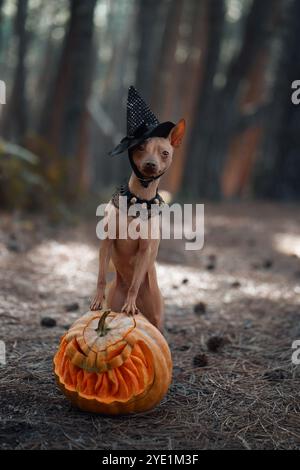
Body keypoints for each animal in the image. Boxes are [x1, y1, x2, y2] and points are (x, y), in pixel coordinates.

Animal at [90, 118, 186, 330]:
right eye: (140, 147)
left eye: (165, 153)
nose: (150, 164)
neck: (139, 199)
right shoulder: (107, 243)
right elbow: (101, 276)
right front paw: (97, 299)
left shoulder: (145, 250)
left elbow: (134, 285)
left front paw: (130, 304)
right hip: (115, 303)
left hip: (156, 317)